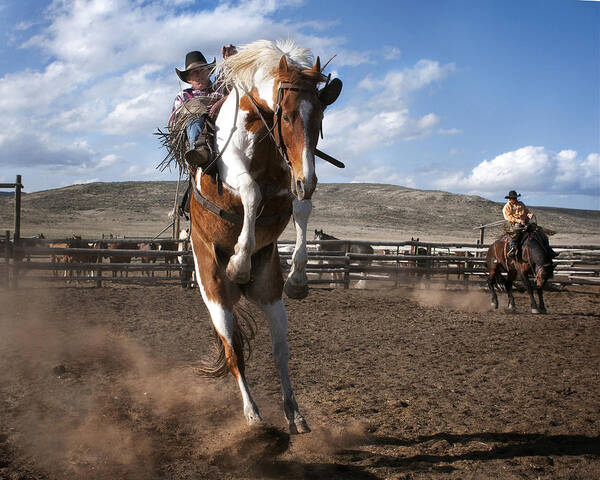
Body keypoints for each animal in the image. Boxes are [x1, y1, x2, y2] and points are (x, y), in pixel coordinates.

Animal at [189, 39, 332, 434]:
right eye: (287, 116)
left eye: (320, 117)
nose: (307, 177)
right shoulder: (233, 169)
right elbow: (251, 192)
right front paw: (239, 261)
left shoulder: (289, 180)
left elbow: (302, 207)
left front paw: (299, 277)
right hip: (214, 293)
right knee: (233, 351)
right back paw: (253, 415)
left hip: (270, 295)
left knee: (280, 352)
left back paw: (294, 413)